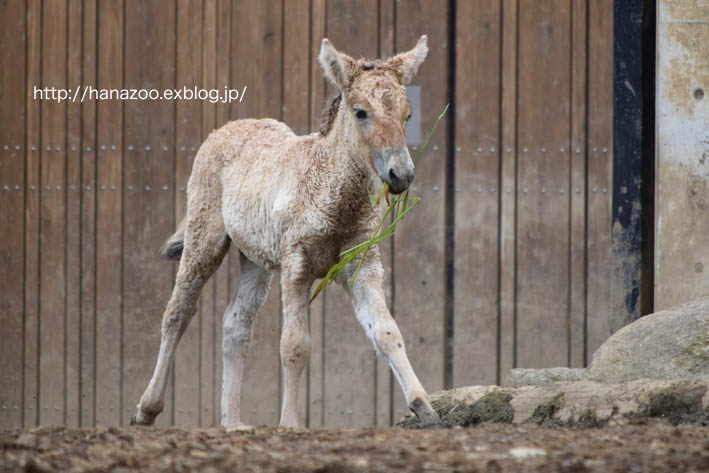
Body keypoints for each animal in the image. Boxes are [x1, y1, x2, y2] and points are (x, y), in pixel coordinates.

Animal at [131, 36, 440, 428]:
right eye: (360, 112)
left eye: (408, 114)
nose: (401, 174)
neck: (333, 195)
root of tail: (226, 128)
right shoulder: (297, 265)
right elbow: (295, 345)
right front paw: (290, 424)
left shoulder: (362, 264)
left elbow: (387, 332)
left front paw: (424, 407)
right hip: (204, 239)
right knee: (177, 313)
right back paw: (147, 409)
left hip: (256, 260)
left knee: (235, 324)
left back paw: (232, 422)